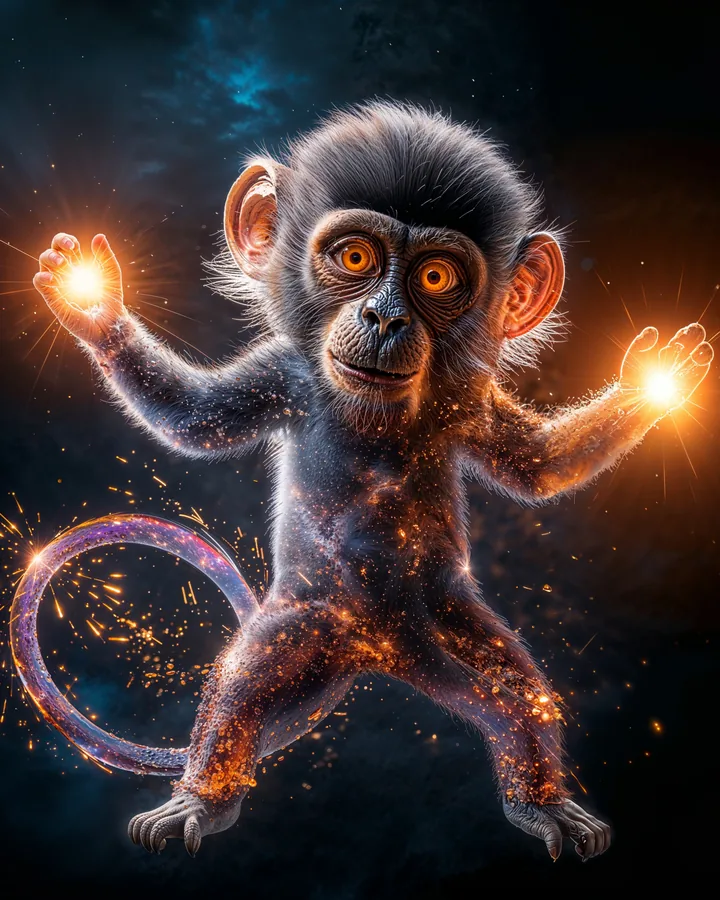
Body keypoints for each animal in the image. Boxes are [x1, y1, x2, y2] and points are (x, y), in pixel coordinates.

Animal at [29, 101, 712, 862]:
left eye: (437, 278)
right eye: (355, 258)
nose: (384, 316)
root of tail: (379, 652)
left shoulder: (465, 403)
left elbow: (534, 466)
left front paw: (652, 390)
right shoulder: (282, 375)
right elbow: (195, 420)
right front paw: (94, 308)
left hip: (448, 619)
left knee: (517, 692)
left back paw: (541, 805)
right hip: (302, 627)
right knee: (241, 687)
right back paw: (202, 799)